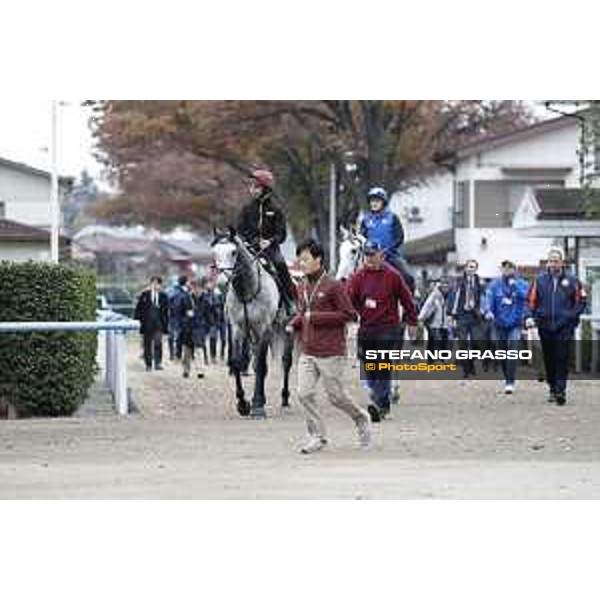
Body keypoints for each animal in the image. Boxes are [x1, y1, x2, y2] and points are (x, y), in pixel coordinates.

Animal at [212, 227, 294, 420]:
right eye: (214, 253)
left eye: (233, 252)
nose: (221, 283)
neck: (247, 290)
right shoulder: (237, 329)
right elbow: (237, 362)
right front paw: (243, 403)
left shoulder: (263, 329)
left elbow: (261, 366)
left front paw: (257, 406)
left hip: (286, 331)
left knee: (285, 362)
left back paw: (284, 398)